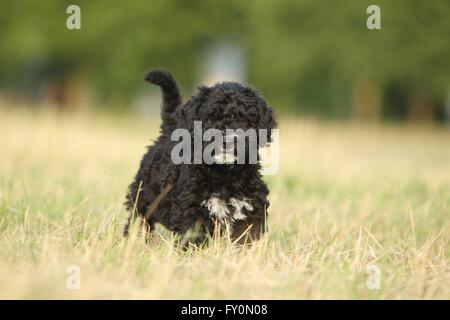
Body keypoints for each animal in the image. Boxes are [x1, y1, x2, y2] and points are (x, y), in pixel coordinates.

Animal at [125, 69, 276, 245]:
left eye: (244, 120)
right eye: (210, 119)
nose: (226, 140)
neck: (224, 173)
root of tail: (169, 131)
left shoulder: (250, 209)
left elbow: (246, 238)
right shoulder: (190, 210)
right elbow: (193, 239)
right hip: (142, 199)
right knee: (138, 222)